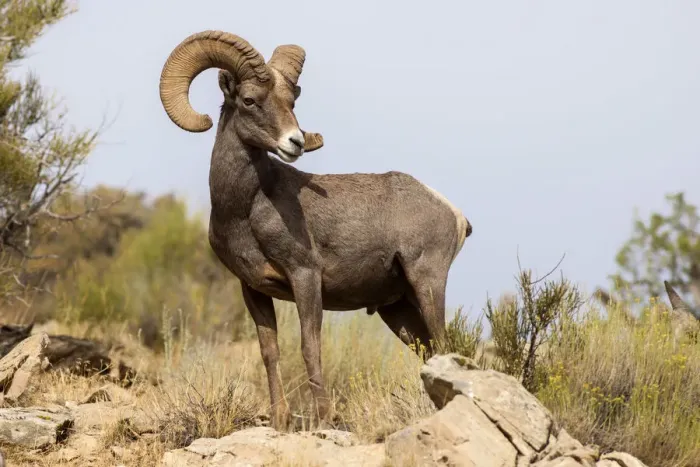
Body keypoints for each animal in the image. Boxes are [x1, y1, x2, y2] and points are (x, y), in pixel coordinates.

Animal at [158, 30, 472, 430]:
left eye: (291, 101)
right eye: (249, 100)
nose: (294, 142)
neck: (246, 209)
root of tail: (454, 214)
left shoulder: (305, 277)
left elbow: (310, 347)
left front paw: (325, 419)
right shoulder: (253, 289)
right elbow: (270, 351)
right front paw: (280, 421)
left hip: (427, 283)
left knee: (443, 347)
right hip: (396, 307)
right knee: (428, 351)